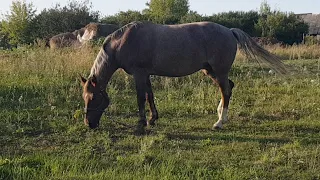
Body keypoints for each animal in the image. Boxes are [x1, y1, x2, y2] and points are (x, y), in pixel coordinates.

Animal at [79, 21, 288, 134]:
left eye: (93, 97)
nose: (89, 124)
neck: (123, 42)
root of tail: (229, 31)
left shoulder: (139, 74)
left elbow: (140, 98)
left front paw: (140, 124)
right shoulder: (146, 74)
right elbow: (150, 96)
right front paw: (153, 119)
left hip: (219, 71)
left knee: (226, 90)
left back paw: (219, 122)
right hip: (211, 71)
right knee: (229, 87)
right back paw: (221, 114)